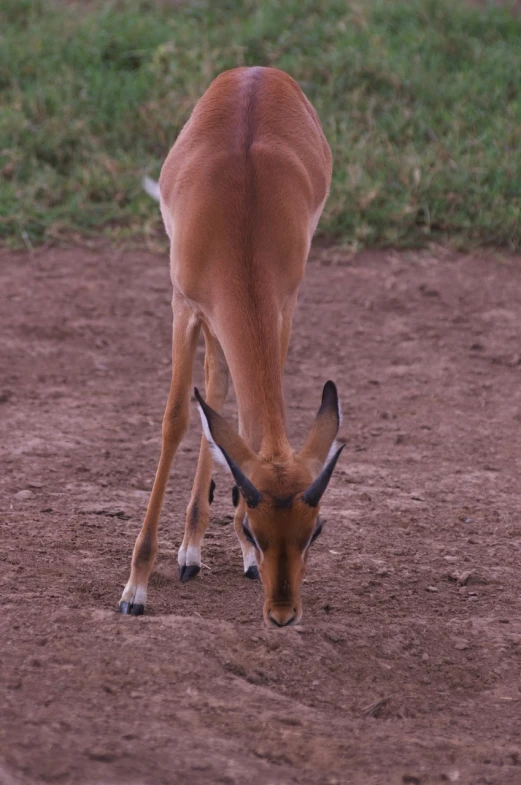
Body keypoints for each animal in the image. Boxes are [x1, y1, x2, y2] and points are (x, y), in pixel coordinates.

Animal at [120, 69, 344, 632]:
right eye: (261, 534)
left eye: (314, 531)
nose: (283, 612)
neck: (240, 225)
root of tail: (257, 71)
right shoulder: (183, 307)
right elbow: (176, 420)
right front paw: (135, 589)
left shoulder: (282, 306)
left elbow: (241, 418)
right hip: (205, 318)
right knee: (211, 389)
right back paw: (187, 552)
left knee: (221, 389)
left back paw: (194, 548)